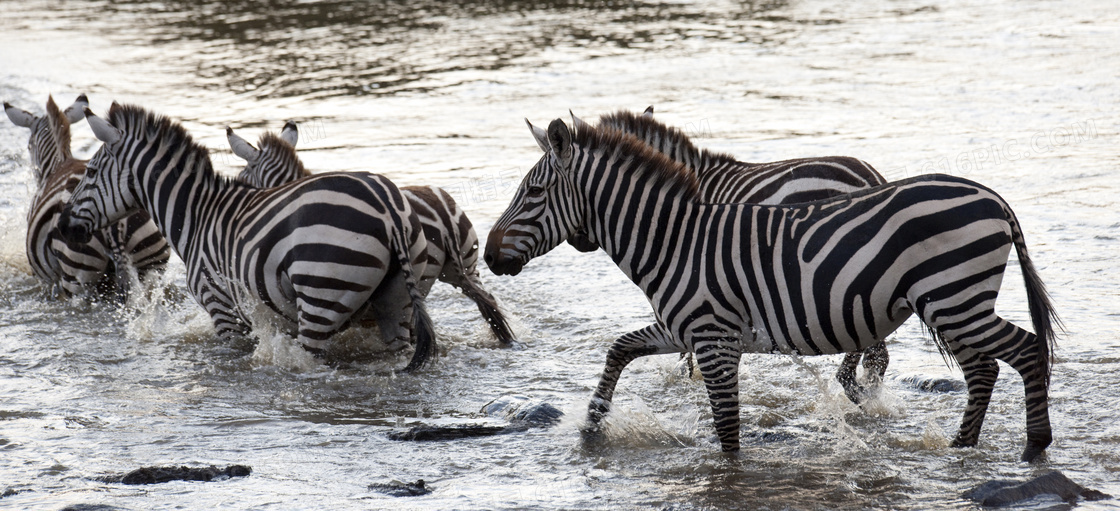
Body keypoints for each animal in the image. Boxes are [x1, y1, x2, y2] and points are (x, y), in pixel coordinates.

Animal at [3, 94, 169, 300]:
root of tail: (116, 224)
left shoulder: (47, 279)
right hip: (152, 268)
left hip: (78, 278)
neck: (58, 164)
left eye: (28, 147)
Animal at [57, 102, 436, 372]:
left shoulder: (220, 307)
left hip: (322, 295)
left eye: (91, 172)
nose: (62, 225)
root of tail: (386, 207)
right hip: (398, 300)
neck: (196, 216)